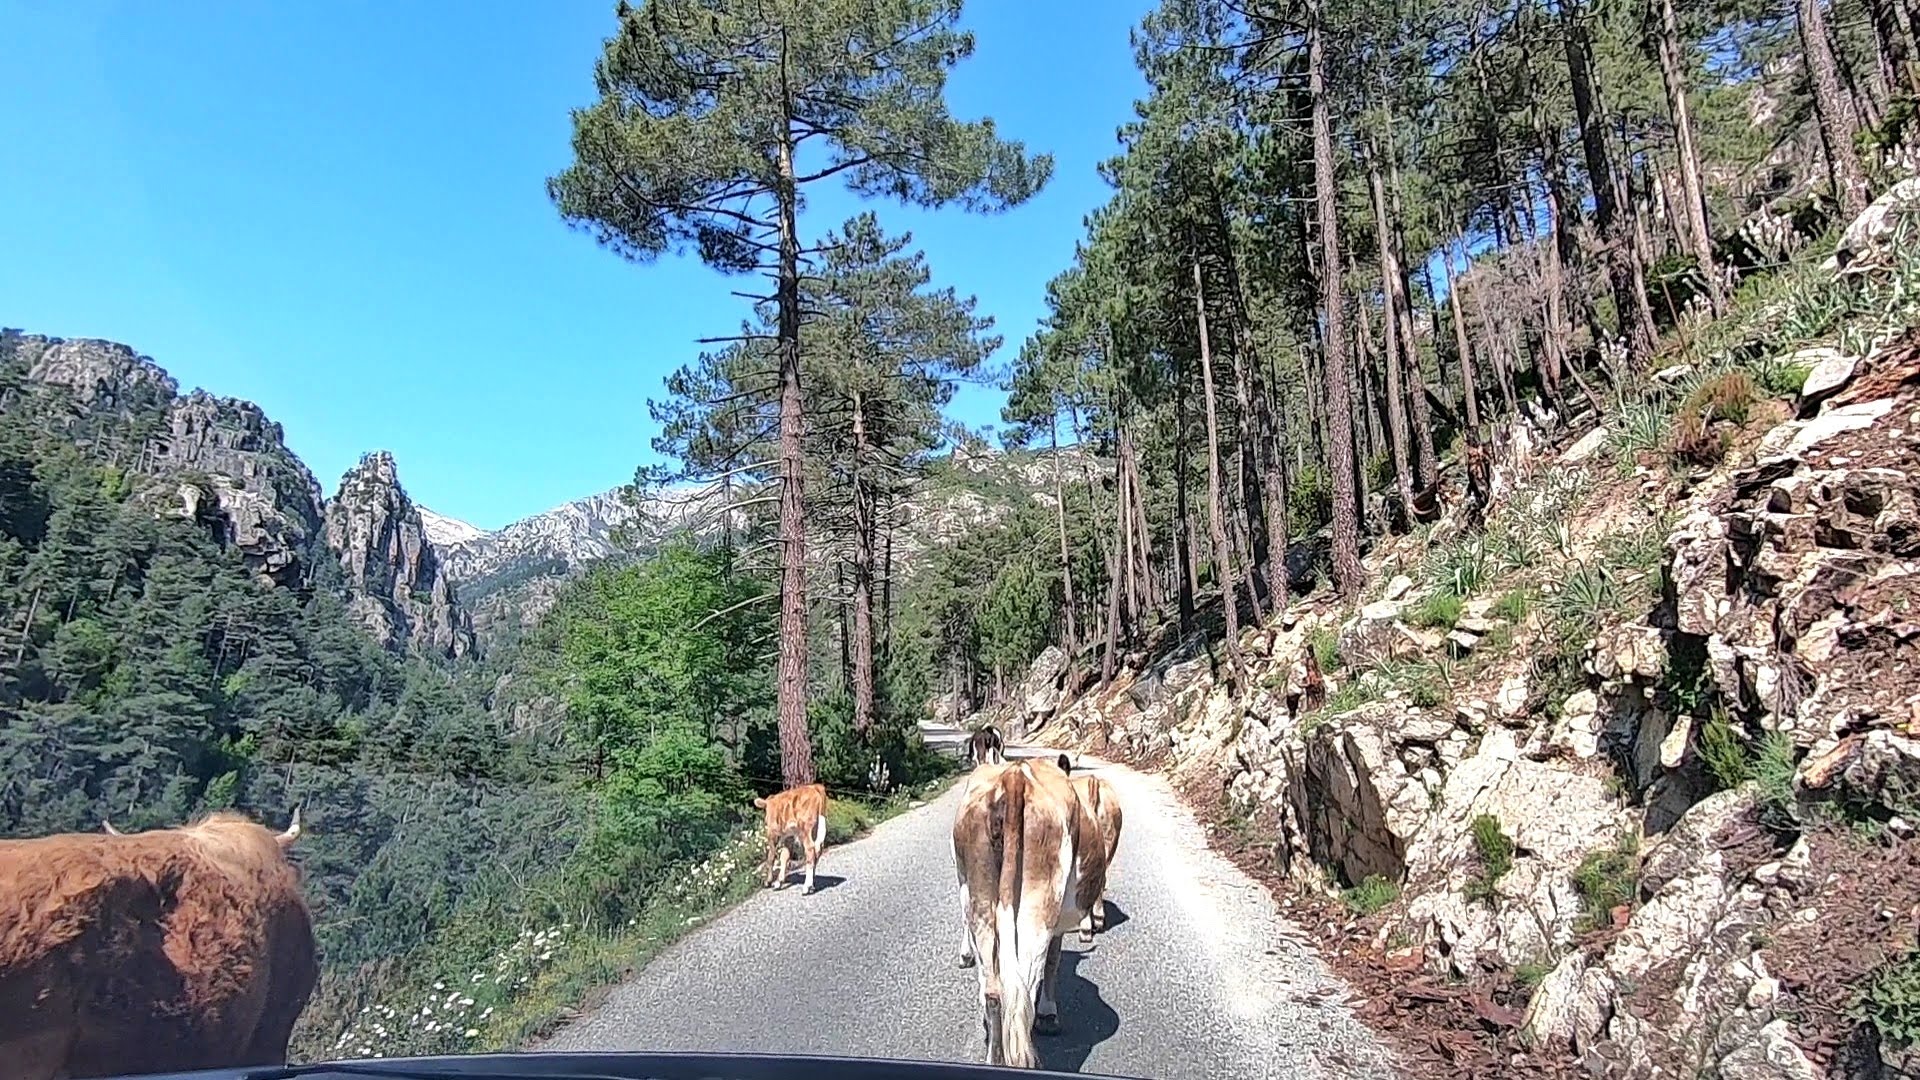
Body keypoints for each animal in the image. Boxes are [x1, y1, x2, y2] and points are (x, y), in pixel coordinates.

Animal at [948, 753, 1113, 1060]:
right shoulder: (1057, 925)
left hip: (978, 892)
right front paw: (1049, 1015)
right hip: (1039, 906)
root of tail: (1014, 776)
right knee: (1023, 985)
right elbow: (1053, 960)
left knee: (994, 990)